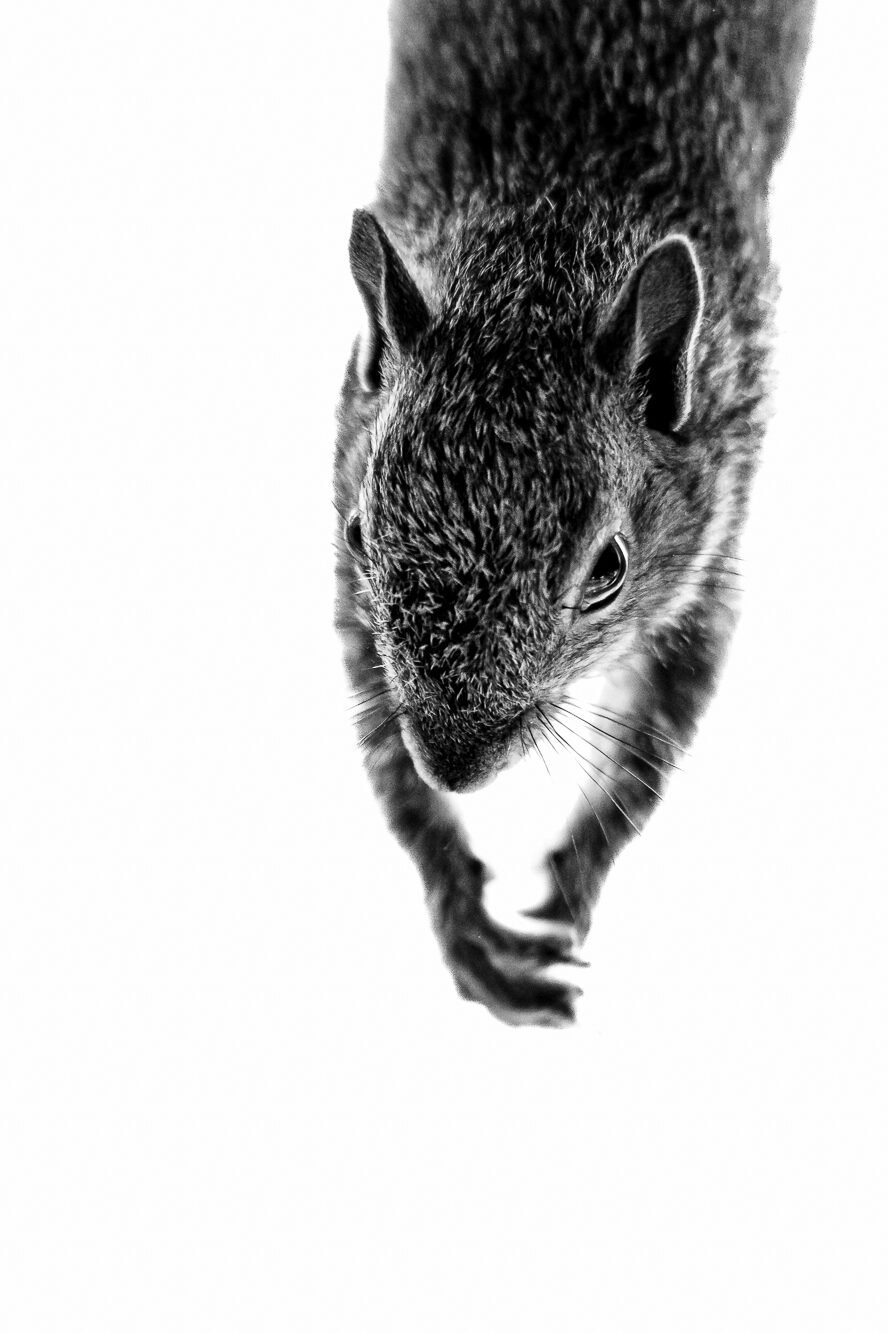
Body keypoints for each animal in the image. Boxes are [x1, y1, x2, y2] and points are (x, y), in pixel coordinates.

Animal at [334, 0, 814, 1026]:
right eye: (360, 535)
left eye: (610, 572)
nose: (454, 765)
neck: (547, 236)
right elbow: (379, 737)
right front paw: (456, 902)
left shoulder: (714, 552)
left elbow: (660, 734)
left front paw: (578, 874)